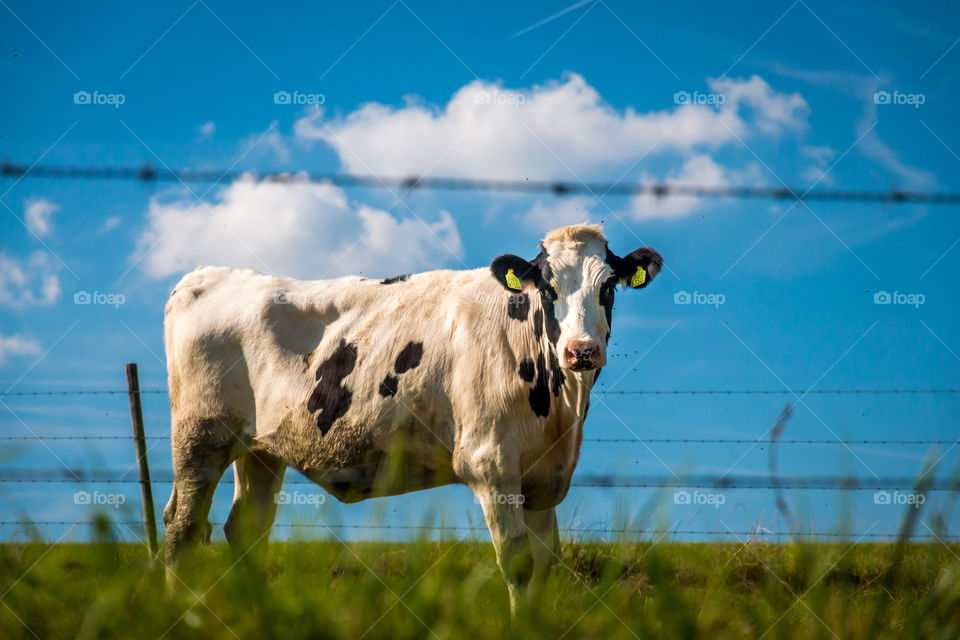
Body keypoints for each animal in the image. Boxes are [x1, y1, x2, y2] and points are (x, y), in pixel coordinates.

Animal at [162, 224, 662, 609]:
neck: (561, 406)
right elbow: (517, 565)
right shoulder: (491, 464)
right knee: (182, 526)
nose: (581, 351)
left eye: (608, 287)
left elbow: (542, 566)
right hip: (199, 437)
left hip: (260, 449)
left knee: (246, 530)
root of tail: (207, 276)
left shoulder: (543, 480)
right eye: (549, 288)